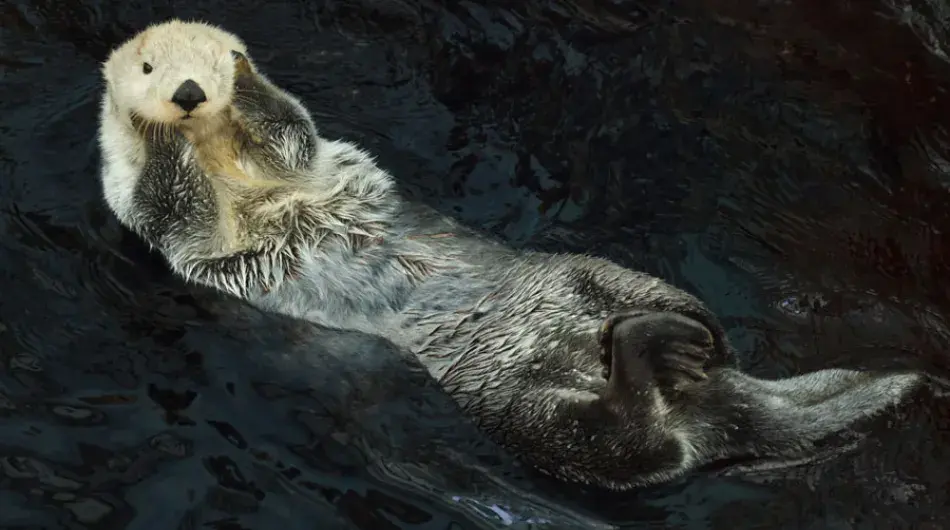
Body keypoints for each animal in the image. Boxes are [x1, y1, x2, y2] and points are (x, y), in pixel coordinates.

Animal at [97, 19, 922, 491]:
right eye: (149, 70)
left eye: (205, 64)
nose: (190, 90)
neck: (226, 164)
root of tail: (719, 409)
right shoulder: (152, 215)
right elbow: (169, 204)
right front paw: (158, 125)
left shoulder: (299, 154)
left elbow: (290, 128)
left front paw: (242, 75)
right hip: (520, 414)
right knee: (634, 452)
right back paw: (658, 347)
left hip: (581, 277)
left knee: (656, 346)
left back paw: (689, 325)